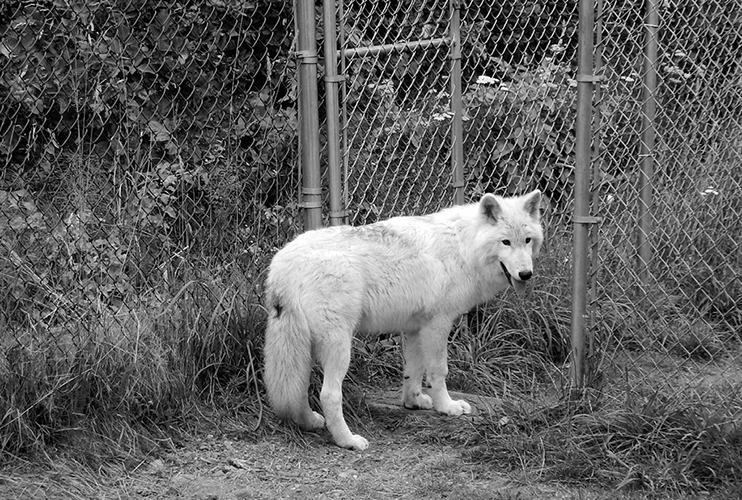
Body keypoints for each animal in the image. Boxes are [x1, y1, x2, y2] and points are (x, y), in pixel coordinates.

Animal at [264, 189, 544, 452]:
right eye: (505, 242)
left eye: (527, 240)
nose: (526, 274)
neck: (464, 247)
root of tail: (284, 265)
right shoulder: (438, 324)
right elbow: (438, 371)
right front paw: (447, 406)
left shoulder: (415, 329)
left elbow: (413, 371)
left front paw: (414, 402)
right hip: (339, 346)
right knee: (329, 395)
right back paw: (348, 441)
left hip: (303, 349)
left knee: (298, 389)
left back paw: (310, 422)